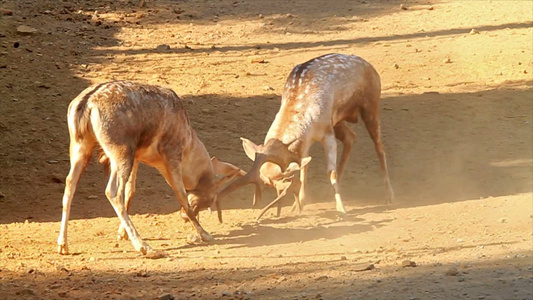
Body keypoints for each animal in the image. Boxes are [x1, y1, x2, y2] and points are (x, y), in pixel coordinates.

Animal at [56, 80, 243, 255]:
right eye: (210, 199)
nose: (182, 216)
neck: (189, 142)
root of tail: (86, 103)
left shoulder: (137, 156)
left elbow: (131, 190)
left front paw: (121, 233)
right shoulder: (172, 155)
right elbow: (181, 194)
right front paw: (205, 234)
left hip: (81, 148)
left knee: (70, 183)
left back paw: (63, 245)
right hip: (120, 152)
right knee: (113, 192)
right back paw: (145, 247)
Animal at [217, 52, 394, 219]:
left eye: (285, 182)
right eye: (267, 184)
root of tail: (370, 66)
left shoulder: (327, 132)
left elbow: (330, 171)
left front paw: (342, 210)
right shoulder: (306, 141)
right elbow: (305, 168)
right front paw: (297, 206)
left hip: (371, 104)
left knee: (379, 146)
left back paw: (389, 195)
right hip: (338, 120)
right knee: (351, 137)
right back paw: (326, 193)